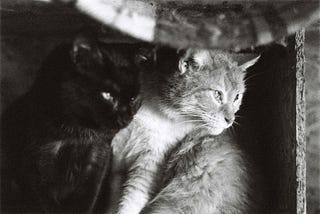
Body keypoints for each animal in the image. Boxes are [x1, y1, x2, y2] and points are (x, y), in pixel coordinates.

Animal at [0, 31, 146, 212]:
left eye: (133, 98)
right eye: (107, 95)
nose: (126, 116)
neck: (79, 133)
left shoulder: (98, 159)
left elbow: (86, 201)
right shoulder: (36, 162)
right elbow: (46, 205)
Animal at [109, 46, 260, 213]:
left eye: (237, 97)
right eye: (217, 94)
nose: (230, 120)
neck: (155, 112)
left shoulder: (149, 166)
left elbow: (131, 201)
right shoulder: (118, 163)